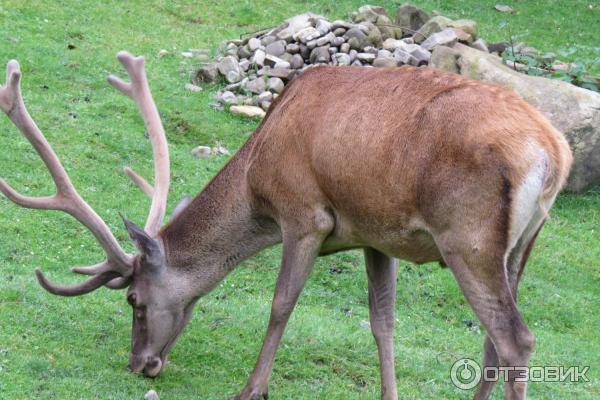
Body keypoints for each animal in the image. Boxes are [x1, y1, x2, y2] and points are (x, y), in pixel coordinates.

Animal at [0, 50, 572, 400]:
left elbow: (280, 305)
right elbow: (382, 321)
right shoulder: (375, 234)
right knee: (494, 339)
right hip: (520, 245)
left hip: (467, 239)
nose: (139, 364)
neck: (257, 177)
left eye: (133, 300)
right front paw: (388, 392)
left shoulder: (305, 214)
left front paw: (251, 387)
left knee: (516, 337)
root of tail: (554, 153)